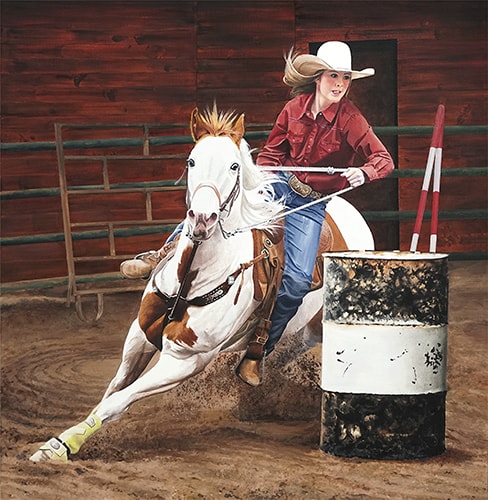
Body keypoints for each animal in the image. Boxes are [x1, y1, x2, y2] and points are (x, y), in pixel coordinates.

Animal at [30, 107, 374, 462]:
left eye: (234, 165)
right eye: (191, 161)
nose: (202, 218)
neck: (191, 279)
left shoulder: (185, 360)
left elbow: (118, 401)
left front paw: (62, 447)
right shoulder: (139, 335)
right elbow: (113, 388)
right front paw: (57, 443)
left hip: (319, 323)